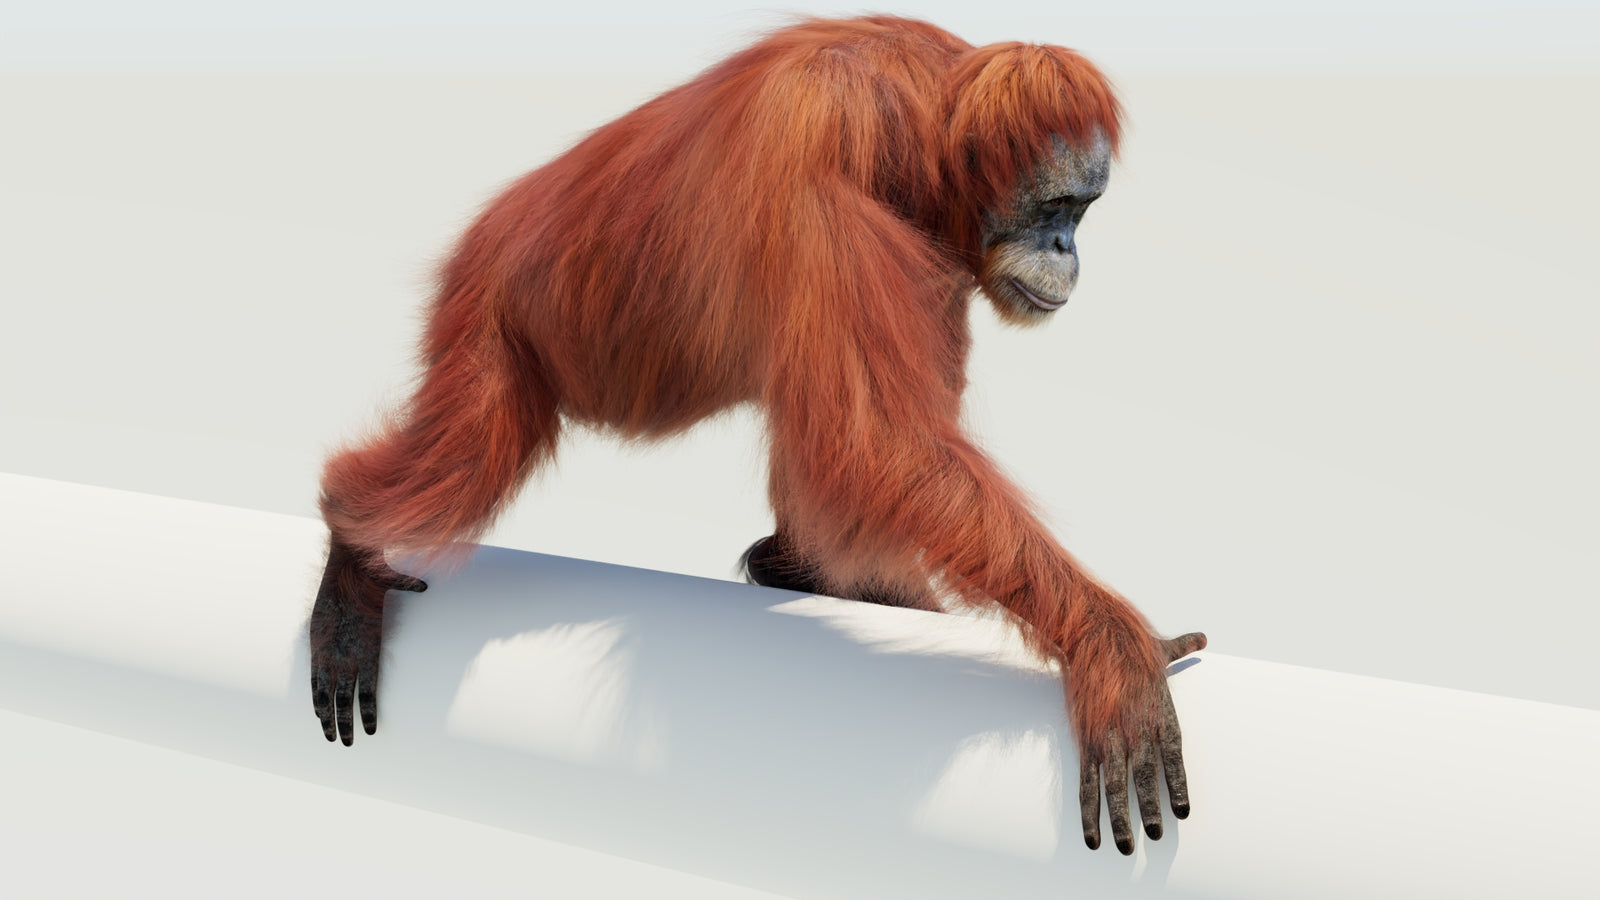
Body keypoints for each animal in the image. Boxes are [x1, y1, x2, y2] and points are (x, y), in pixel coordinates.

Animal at [309, 16, 1205, 856]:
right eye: (1058, 208)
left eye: (1082, 212)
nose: (1067, 249)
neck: (919, 114)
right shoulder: (821, 144)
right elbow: (874, 441)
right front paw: (1111, 649)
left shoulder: (939, 252)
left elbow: (871, 451)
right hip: (490, 310)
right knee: (467, 457)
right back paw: (352, 550)